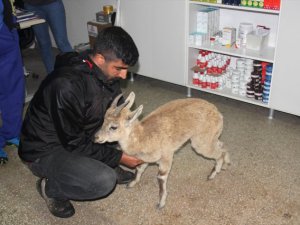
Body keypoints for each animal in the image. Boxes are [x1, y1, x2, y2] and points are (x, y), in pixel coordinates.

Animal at [94, 92, 230, 209]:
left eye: (114, 127)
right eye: (103, 120)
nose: (96, 137)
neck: (144, 137)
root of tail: (218, 113)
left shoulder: (166, 156)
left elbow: (161, 177)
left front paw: (160, 204)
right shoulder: (144, 159)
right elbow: (139, 169)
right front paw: (131, 184)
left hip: (200, 143)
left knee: (218, 152)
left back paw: (212, 174)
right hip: (208, 138)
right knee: (221, 144)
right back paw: (225, 165)